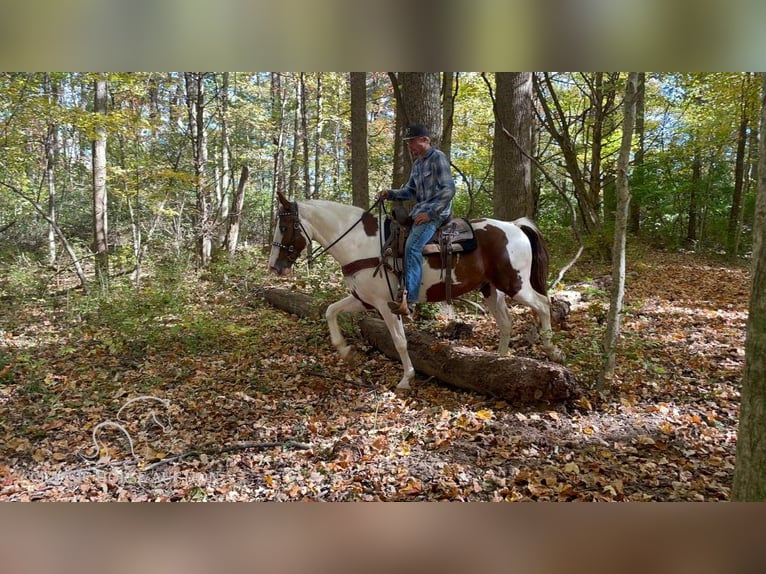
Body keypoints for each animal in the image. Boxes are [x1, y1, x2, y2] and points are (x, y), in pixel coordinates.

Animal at [268, 194, 564, 392]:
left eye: (283, 227)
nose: (274, 267)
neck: (360, 243)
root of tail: (514, 226)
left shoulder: (387, 304)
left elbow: (400, 341)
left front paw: (406, 378)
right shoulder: (364, 300)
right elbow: (331, 311)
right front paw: (344, 349)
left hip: (516, 284)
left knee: (543, 304)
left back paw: (552, 350)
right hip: (491, 289)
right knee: (506, 321)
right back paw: (500, 360)